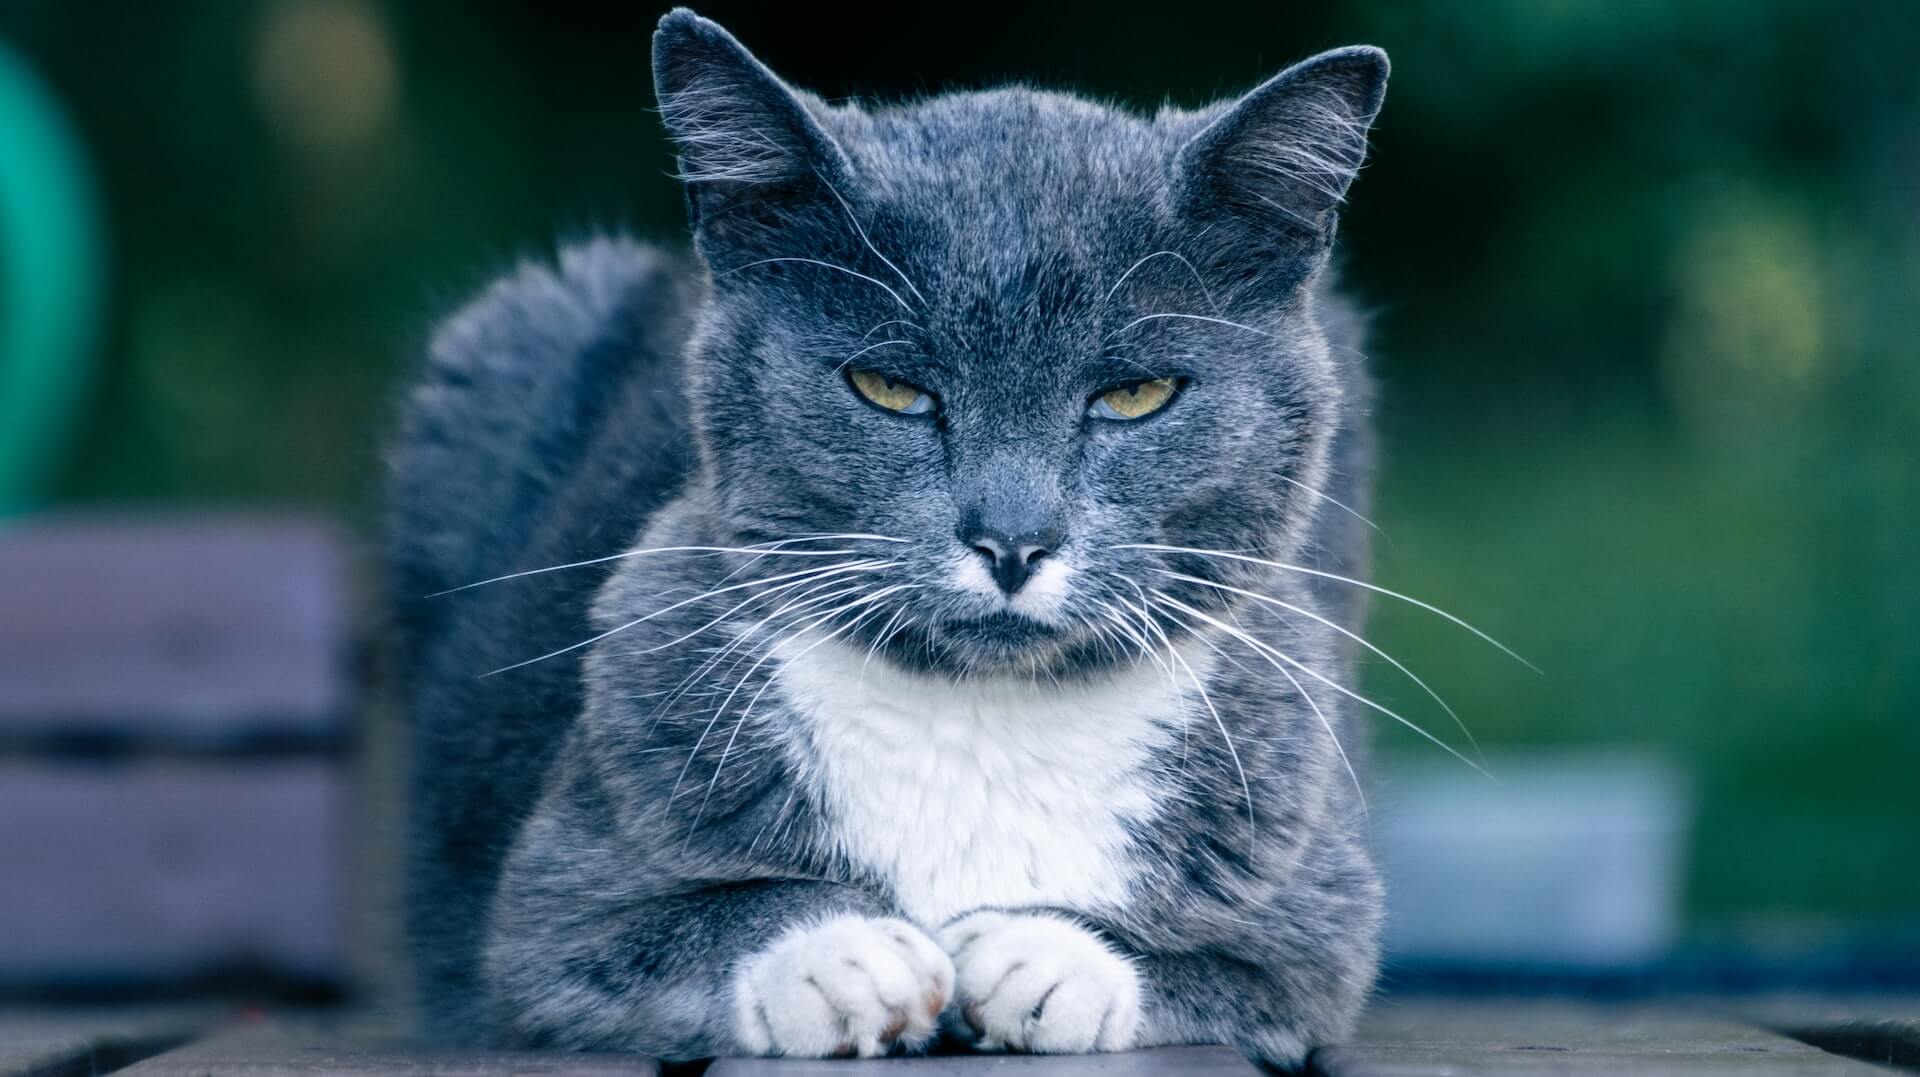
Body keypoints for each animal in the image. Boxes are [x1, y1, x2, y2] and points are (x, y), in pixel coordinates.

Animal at [382, 6, 1390, 1067]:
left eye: (1136, 394)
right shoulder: (554, 908)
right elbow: (648, 928)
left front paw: (1042, 955)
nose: (1012, 539)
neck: (981, 717)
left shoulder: (1310, 908)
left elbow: (1250, 969)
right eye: (889, 387)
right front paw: (839, 954)